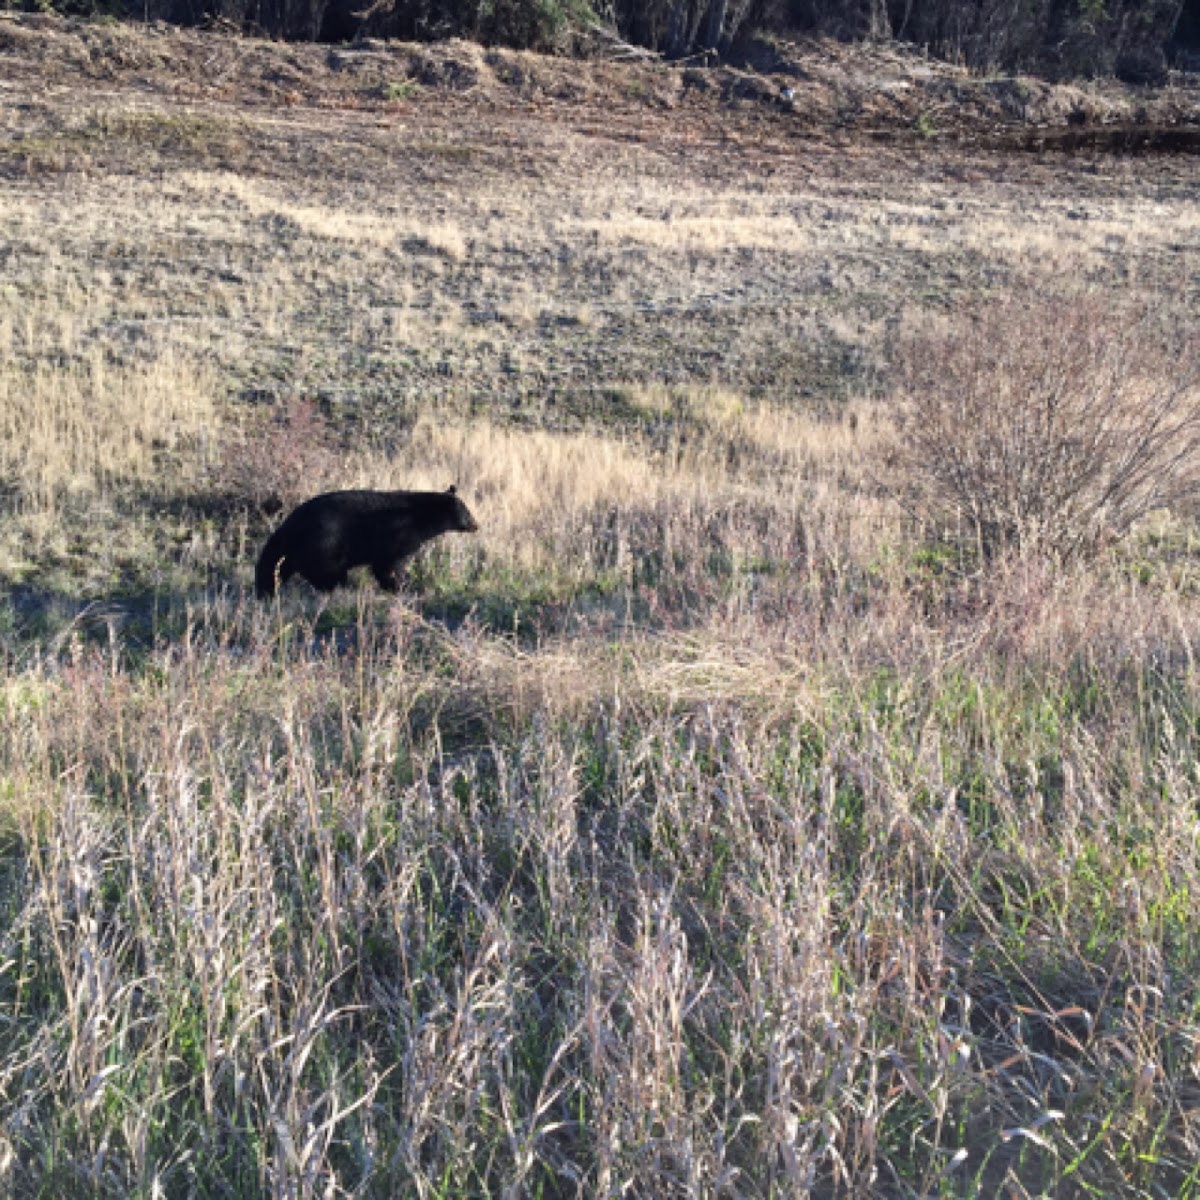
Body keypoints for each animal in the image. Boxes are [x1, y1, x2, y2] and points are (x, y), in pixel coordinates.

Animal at [255, 484, 480, 597]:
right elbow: (390, 564)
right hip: (323, 546)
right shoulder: (397, 535)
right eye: (467, 513)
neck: (419, 517)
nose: (476, 525)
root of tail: (287, 528)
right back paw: (337, 588)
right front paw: (401, 585)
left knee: (277, 568)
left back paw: (268, 589)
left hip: (295, 552)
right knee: (326, 572)